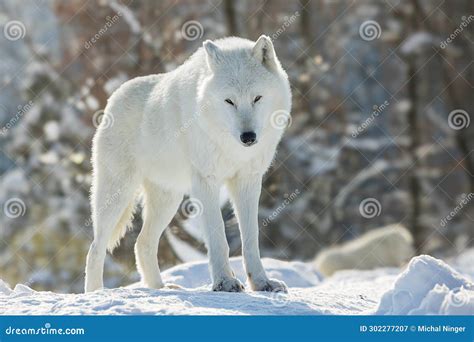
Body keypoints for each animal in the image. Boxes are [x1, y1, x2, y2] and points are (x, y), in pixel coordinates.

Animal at [85, 36, 292, 294]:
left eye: (257, 98)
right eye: (229, 101)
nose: (248, 137)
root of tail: (113, 97)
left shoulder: (248, 180)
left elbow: (251, 240)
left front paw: (262, 283)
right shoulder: (206, 182)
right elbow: (218, 238)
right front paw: (225, 282)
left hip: (168, 200)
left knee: (142, 243)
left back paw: (161, 289)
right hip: (117, 195)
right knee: (96, 248)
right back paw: (95, 293)